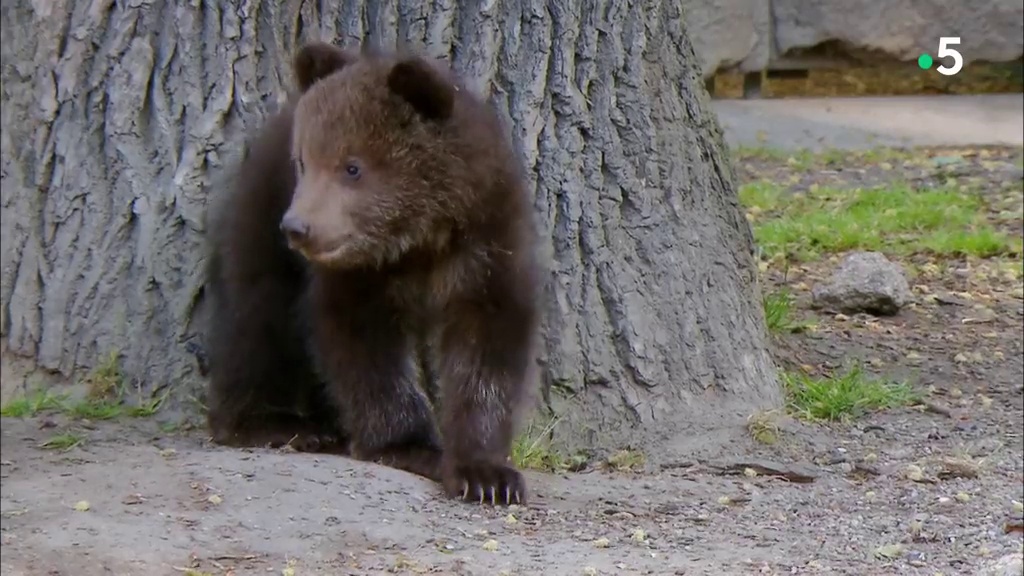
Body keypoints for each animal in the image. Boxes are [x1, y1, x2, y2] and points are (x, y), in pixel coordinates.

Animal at [202, 42, 548, 504]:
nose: (297, 227)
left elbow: (486, 351)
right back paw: (280, 423)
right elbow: (364, 348)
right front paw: (410, 444)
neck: (418, 238)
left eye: (352, 167)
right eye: (303, 161)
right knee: (256, 320)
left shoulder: (486, 248)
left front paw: (487, 474)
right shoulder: (358, 275)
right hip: (259, 219)